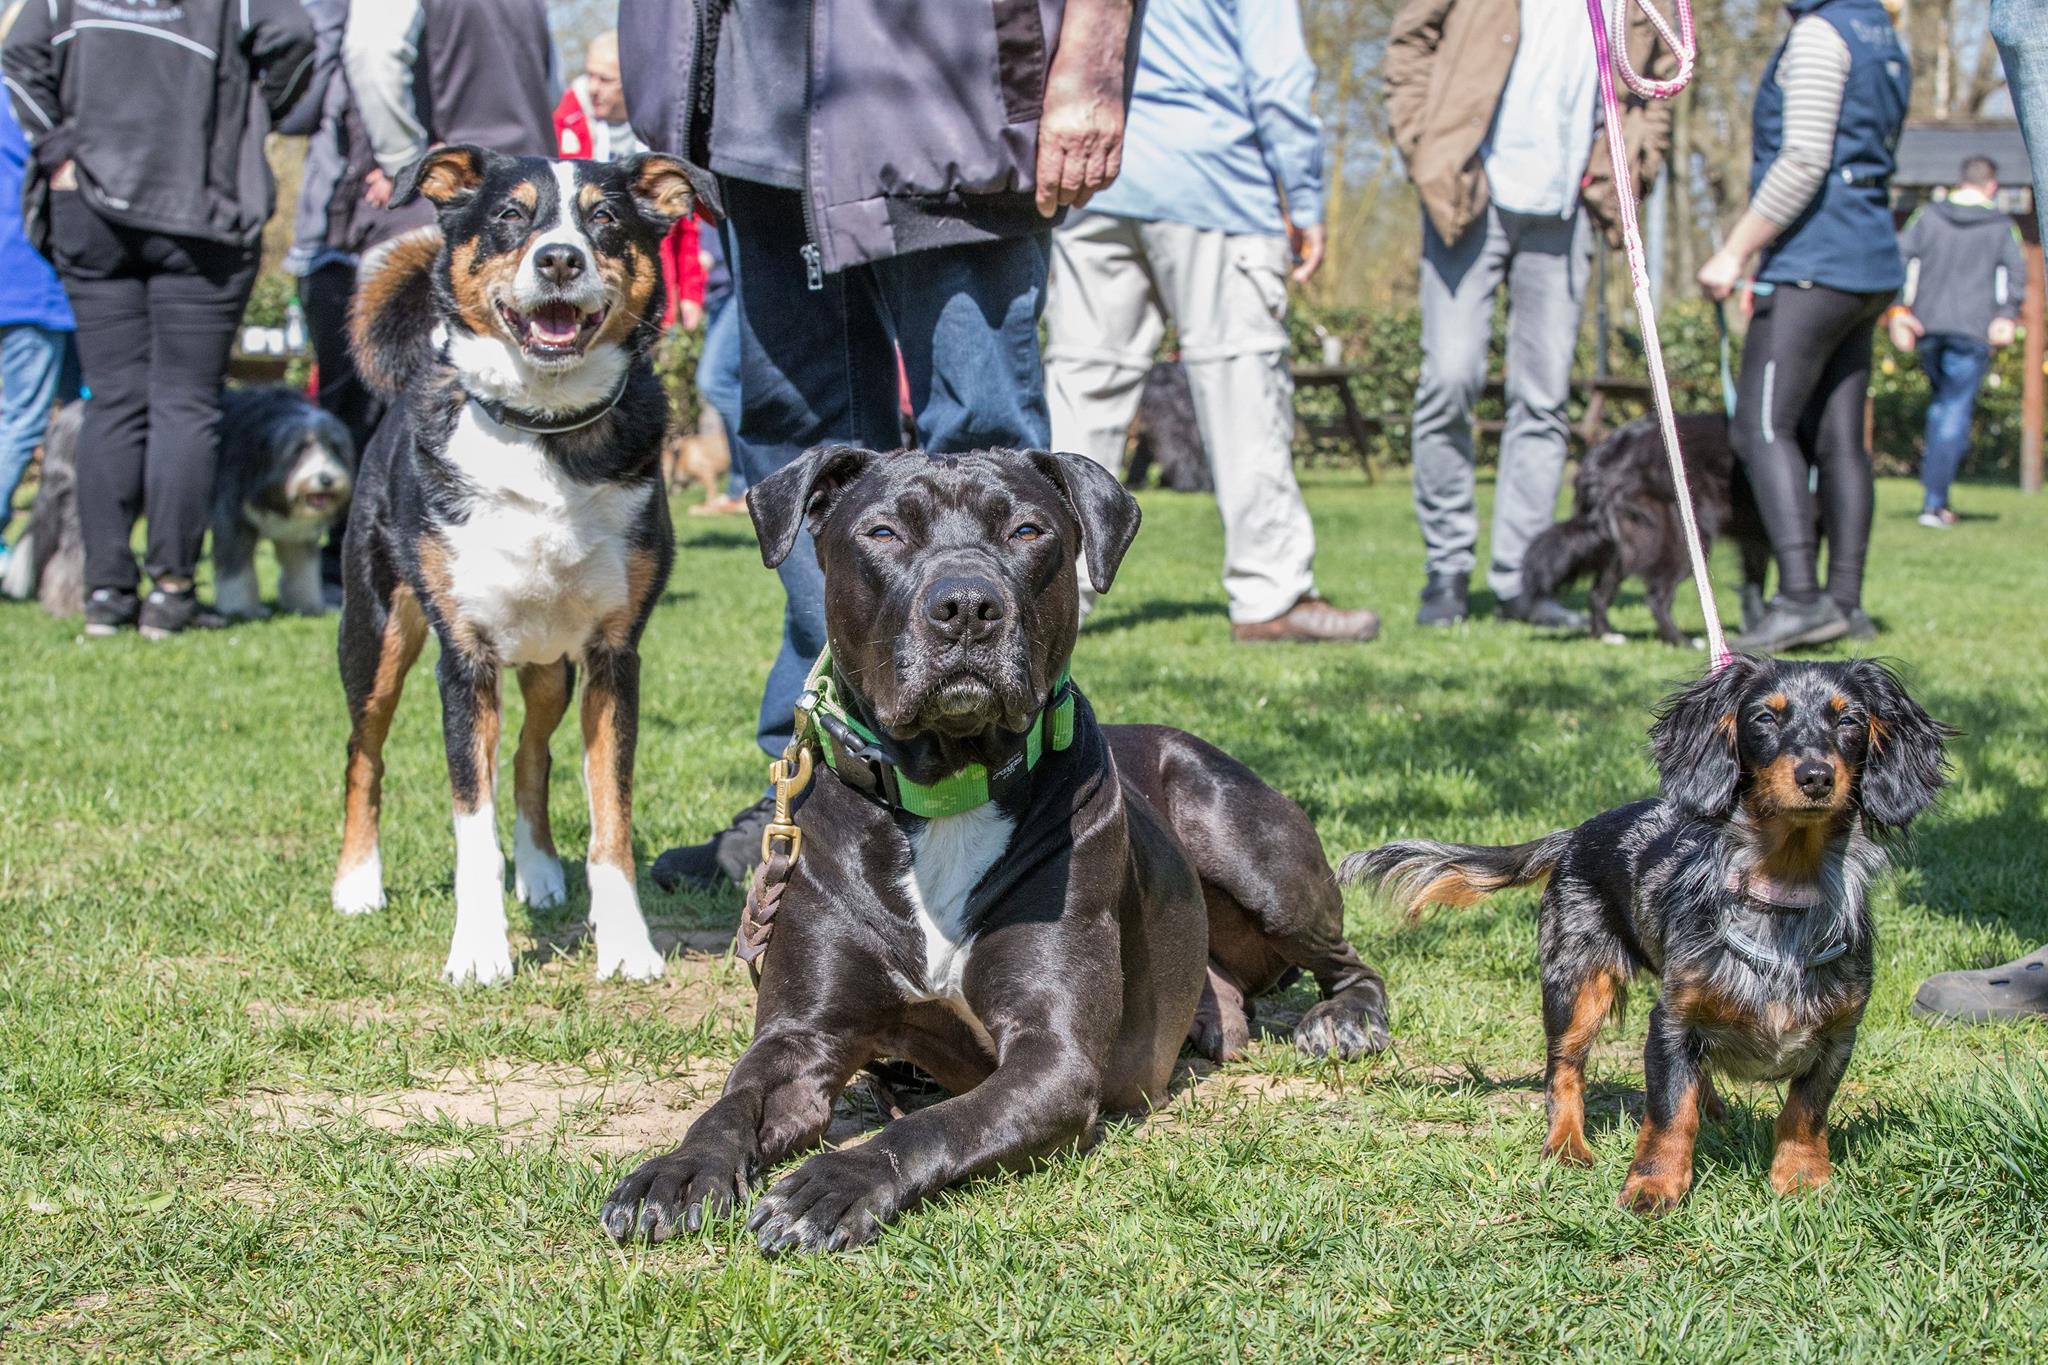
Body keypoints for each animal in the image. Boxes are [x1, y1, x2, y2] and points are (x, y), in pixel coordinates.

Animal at [213, 385, 355, 619]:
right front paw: (241, 609)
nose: (326, 479)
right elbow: (237, 574)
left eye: (334, 447)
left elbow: (303, 571)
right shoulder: (233, 522)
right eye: (300, 448)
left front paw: (309, 606)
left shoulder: (297, 535)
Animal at [334, 145, 696, 984]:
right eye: (509, 215)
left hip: (550, 665)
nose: (559, 258)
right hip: (377, 632)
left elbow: (610, 817)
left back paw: (539, 870)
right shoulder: (464, 659)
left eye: (605, 218)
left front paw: (625, 944)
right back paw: (358, 882)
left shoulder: (613, 655)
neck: (544, 429)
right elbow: (473, 825)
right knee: (363, 751)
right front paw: (478, 952)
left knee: (533, 755)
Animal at [601, 444, 1391, 1254]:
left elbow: (933, 1125)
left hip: (1244, 841)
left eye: (1028, 530)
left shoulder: (1053, 1058)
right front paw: (679, 1168)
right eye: (883, 531)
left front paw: (836, 1181)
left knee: (1351, 961)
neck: (945, 786)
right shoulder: (800, 1036)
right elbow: (731, 1101)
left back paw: (1345, 1021)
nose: (966, 606)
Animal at [1341, 655, 1950, 1213]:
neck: (1783, 896)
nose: (1816, 776)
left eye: (1850, 721)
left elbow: (1805, 1114)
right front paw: (1653, 1186)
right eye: (1763, 718)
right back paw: (1567, 1146)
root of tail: (1575, 834)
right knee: (1564, 1071)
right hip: (1577, 984)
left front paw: (1802, 1182)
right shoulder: (1672, 1022)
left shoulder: (1837, 1035)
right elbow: (1668, 1114)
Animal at [1521, 413, 1773, 645]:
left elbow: (1754, 587)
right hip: (1685, 537)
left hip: (1626, 544)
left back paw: (1607, 635)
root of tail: (1608, 451)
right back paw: (1682, 641)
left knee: (1598, 593)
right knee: (1657, 596)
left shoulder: (1755, 544)